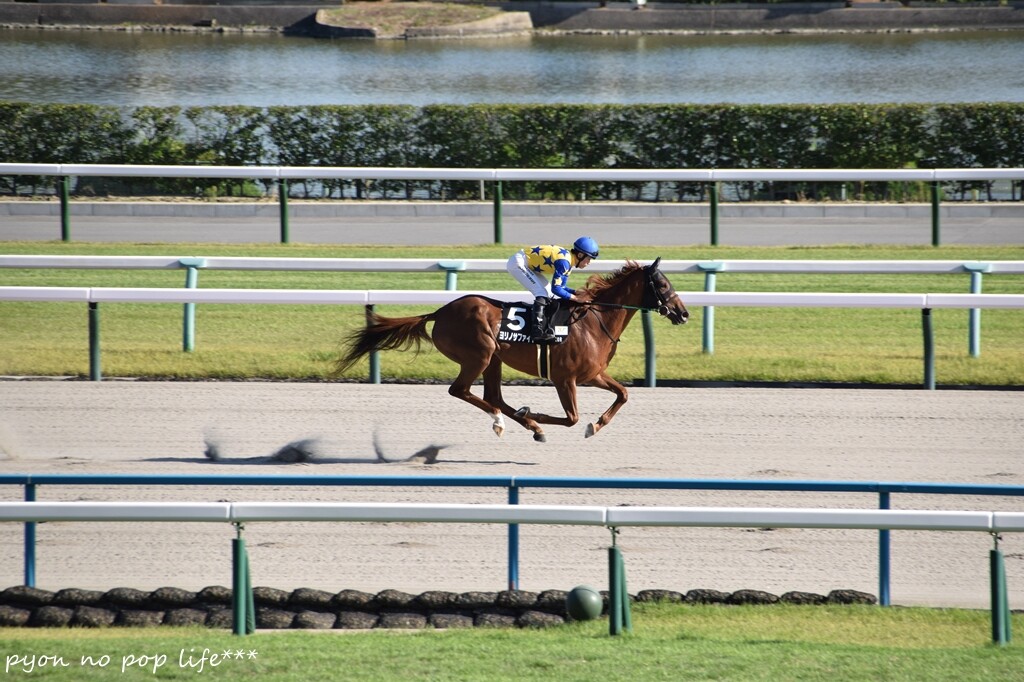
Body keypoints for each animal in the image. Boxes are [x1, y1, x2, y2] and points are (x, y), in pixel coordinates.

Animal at [335, 258, 689, 441]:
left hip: (494, 359)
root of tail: (439, 312)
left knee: (493, 396)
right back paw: (505, 421)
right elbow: (571, 418)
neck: (593, 320)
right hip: (478, 355)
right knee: (461, 391)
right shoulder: (565, 378)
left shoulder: (593, 374)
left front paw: (595, 425)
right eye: (663, 285)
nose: (683, 313)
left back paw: (524, 424)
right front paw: (537, 414)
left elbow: (623, 394)